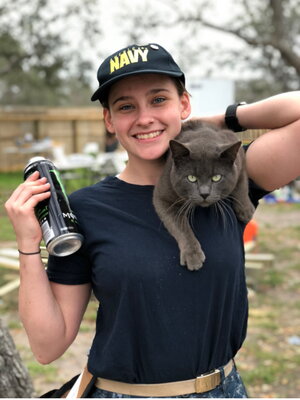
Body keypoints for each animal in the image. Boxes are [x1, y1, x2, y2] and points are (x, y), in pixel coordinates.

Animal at [154, 120, 254, 270]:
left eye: (217, 177)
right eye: (191, 178)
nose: (204, 193)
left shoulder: (239, 158)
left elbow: (242, 181)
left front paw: (246, 211)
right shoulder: (163, 195)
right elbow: (180, 226)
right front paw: (193, 255)